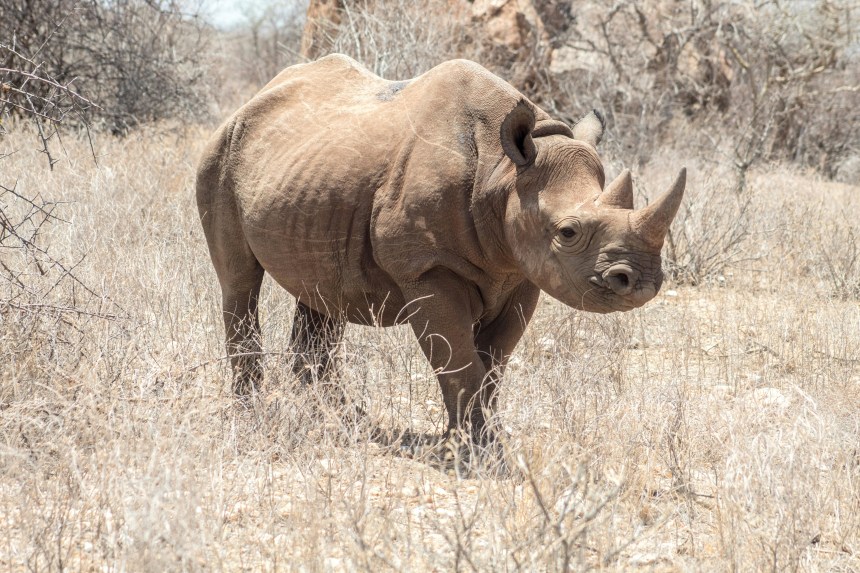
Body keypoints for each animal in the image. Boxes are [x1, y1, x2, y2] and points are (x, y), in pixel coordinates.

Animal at [196, 54, 685, 444]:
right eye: (568, 232)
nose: (641, 282)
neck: (503, 173)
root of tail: (251, 101)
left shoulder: (521, 271)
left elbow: (492, 364)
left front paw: (479, 437)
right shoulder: (427, 269)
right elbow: (459, 361)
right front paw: (476, 450)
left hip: (312, 178)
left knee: (320, 292)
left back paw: (341, 419)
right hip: (219, 156)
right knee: (239, 282)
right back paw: (253, 414)